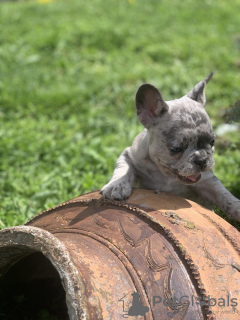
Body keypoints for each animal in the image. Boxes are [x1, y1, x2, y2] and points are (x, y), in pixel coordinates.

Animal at [100, 73, 240, 221]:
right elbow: (124, 169)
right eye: (176, 149)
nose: (202, 159)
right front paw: (116, 185)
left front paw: (237, 207)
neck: (167, 175)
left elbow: (223, 195)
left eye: (212, 142)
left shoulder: (207, 180)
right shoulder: (129, 155)